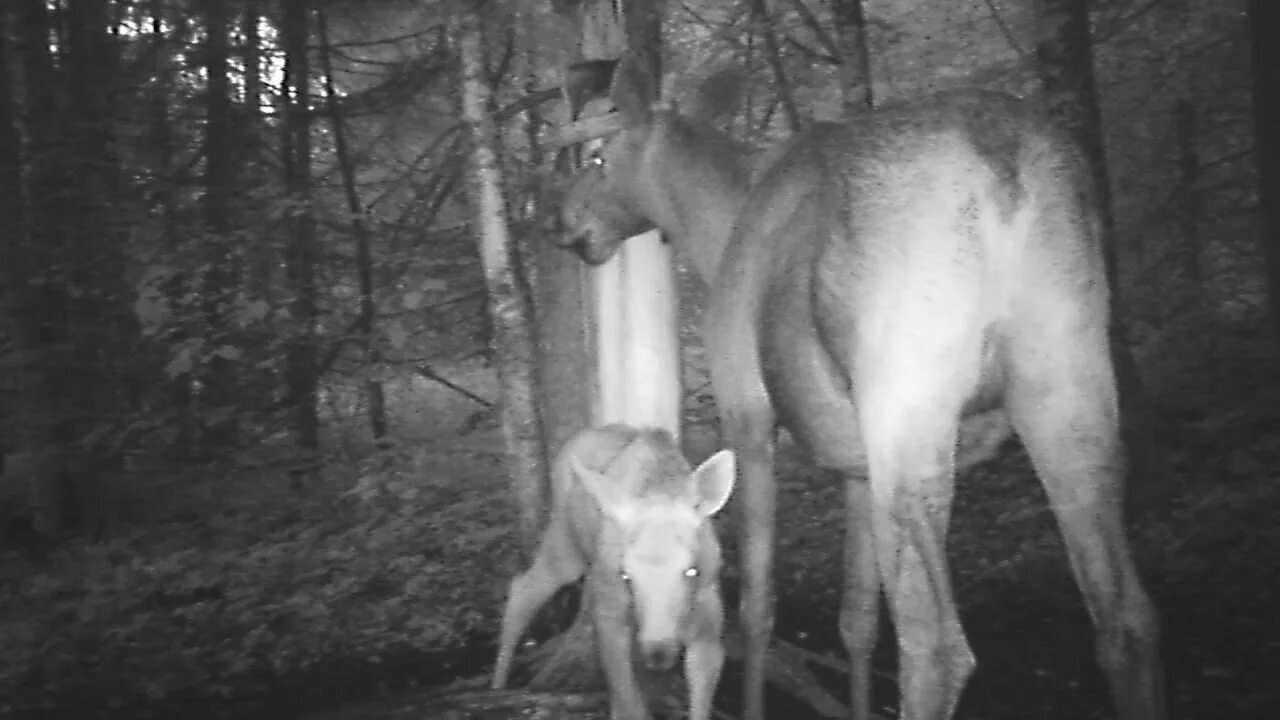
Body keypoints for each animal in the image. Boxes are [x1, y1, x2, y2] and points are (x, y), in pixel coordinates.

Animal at [545, 56, 1167, 717]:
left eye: (597, 158)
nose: (559, 221)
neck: (716, 229)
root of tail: (1004, 168)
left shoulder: (746, 408)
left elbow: (758, 608)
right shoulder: (854, 463)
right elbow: (858, 621)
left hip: (906, 397)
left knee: (938, 648)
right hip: (1067, 376)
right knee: (1127, 616)